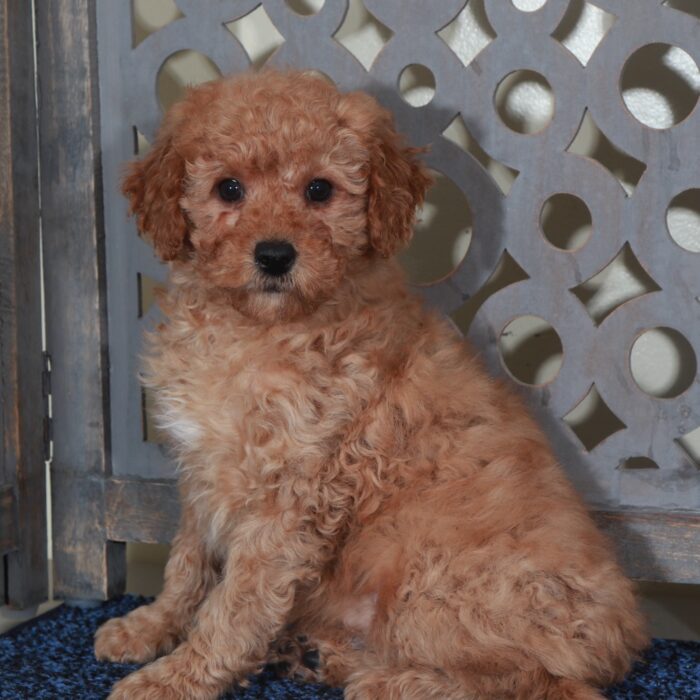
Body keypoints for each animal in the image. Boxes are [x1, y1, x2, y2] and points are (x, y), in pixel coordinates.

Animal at [95, 67, 648, 700]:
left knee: (537, 683)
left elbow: (237, 603)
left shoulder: (292, 497)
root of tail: (621, 639)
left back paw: (383, 680)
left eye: (319, 190)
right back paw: (320, 652)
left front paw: (177, 676)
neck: (257, 329)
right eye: (228, 189)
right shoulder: (202, 474)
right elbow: (187, 564)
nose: (275, 256)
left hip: (432, 584)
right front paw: (149, 627)